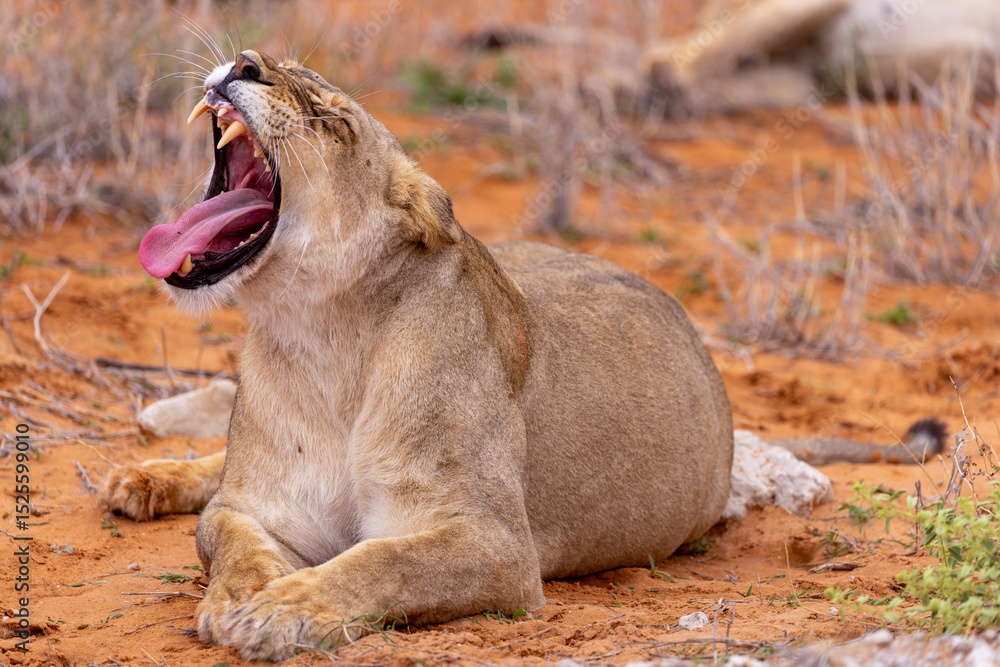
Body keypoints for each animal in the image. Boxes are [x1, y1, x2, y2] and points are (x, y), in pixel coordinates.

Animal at [102, 50, 733, 660]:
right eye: (268, 63)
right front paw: (242, 595)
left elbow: (384, 561)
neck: (326, 335)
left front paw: (280, 609)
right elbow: (233, 542)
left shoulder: (499, 545)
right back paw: (143, 479)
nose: (243, 63)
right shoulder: (253, 507)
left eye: (333, 121)